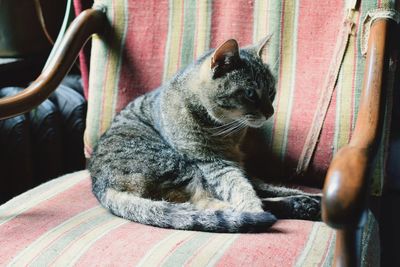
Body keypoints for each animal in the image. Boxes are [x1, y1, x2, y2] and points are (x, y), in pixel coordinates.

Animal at [89, 36, 320, 233]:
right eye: (250, 94)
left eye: (272, 92)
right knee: (212, 205)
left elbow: (268, 186)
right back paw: (299, 207)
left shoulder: (238, 165)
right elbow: (243, 191)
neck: (228, 131)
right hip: (182, 166)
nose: (270, 112)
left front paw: (307, 195)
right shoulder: (213, 164)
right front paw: (261, 206)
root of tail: (101, 185)